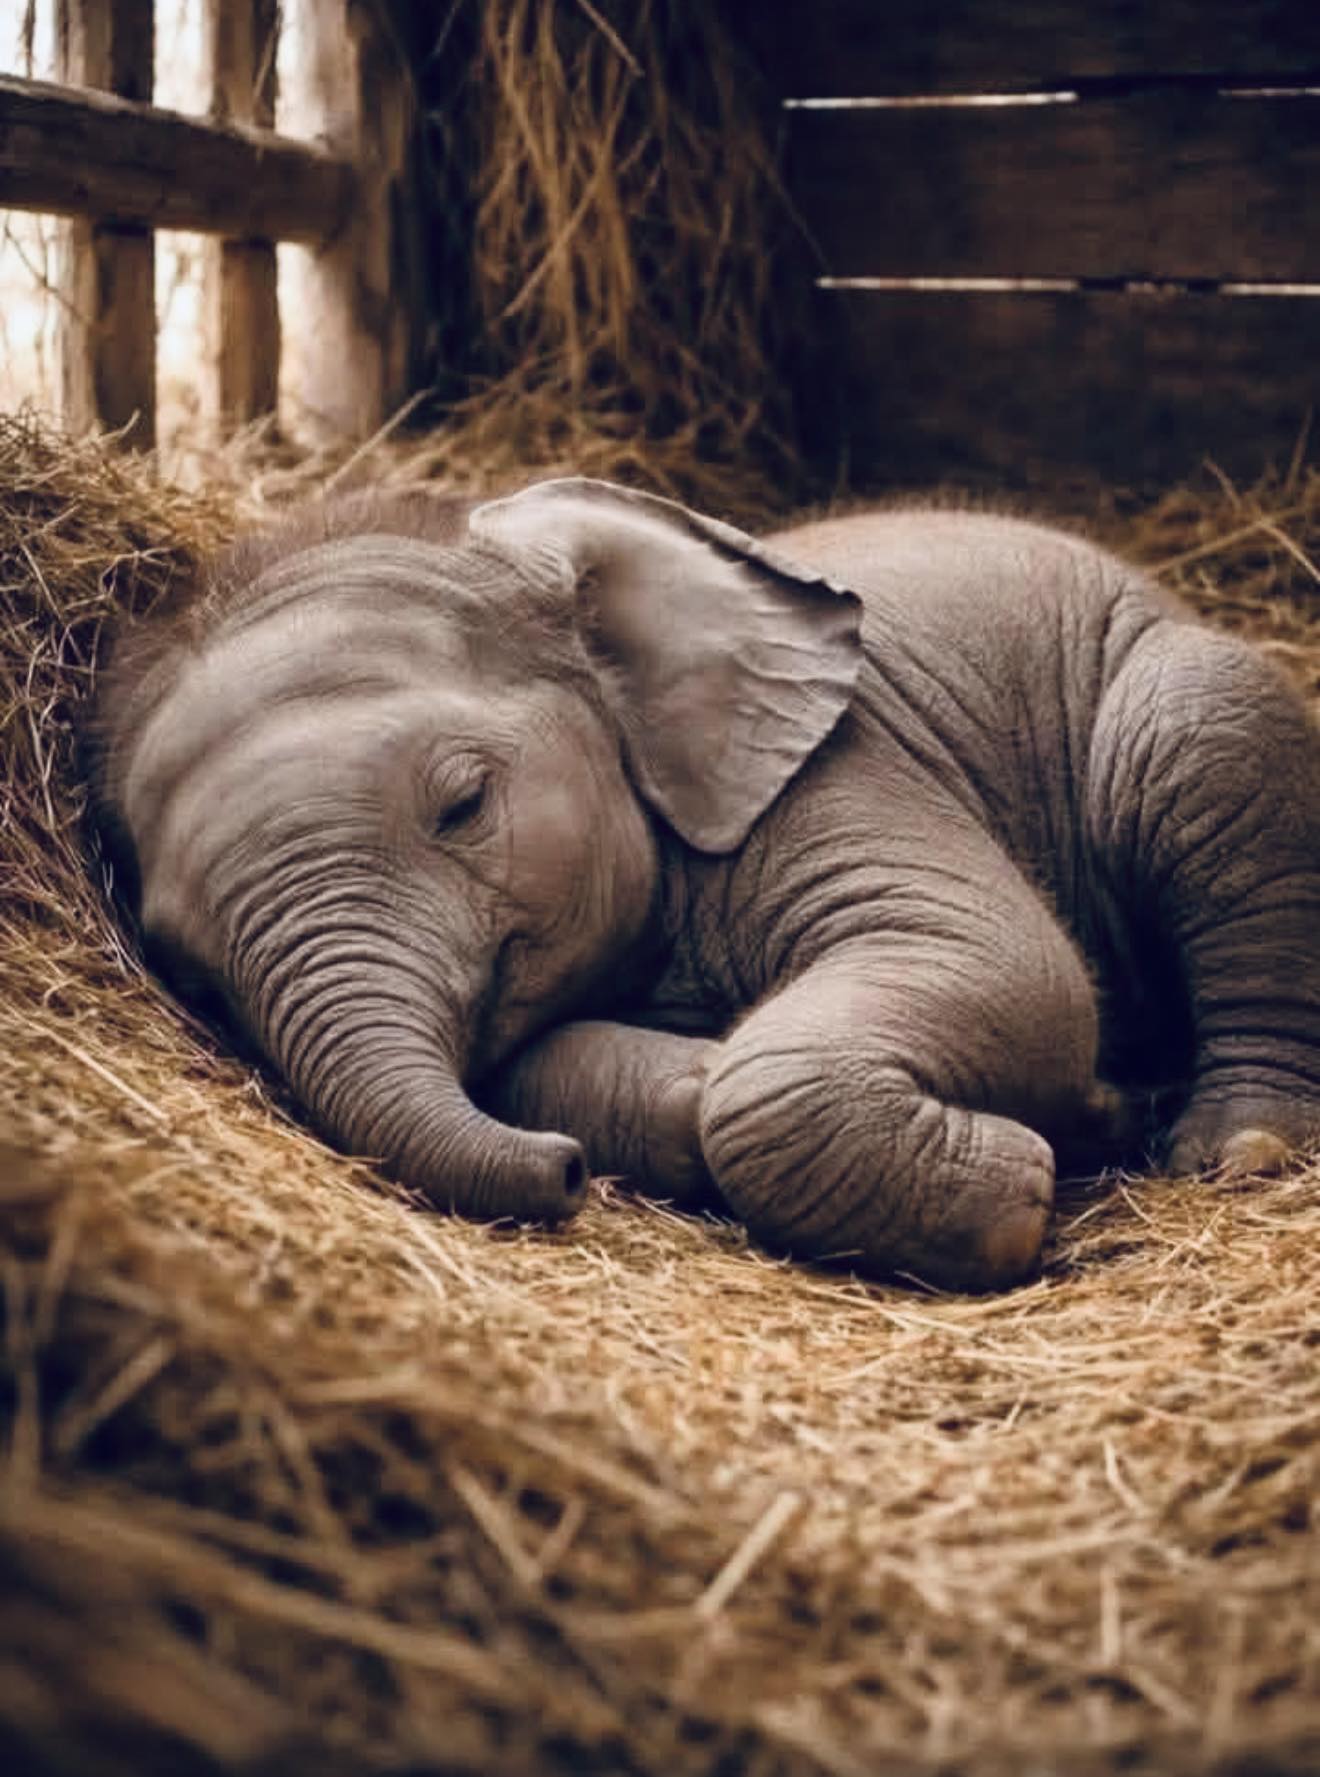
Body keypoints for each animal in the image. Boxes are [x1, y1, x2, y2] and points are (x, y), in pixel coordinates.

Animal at [85, 478, 1320, 1292]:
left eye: (465, 806)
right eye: (189, 971)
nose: (569, 1176)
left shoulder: (829, 761)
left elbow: (1010, 967)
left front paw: (1026, 1185)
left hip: (1179, 690)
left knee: (1203, 743)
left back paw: (1237, 1153)